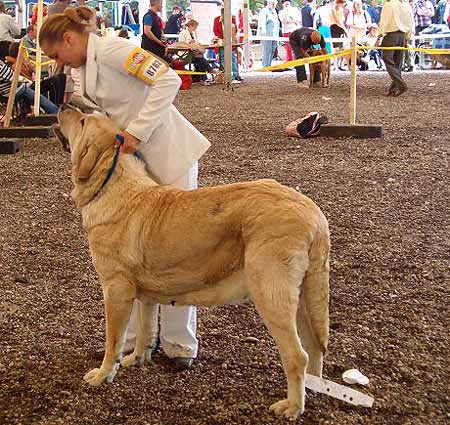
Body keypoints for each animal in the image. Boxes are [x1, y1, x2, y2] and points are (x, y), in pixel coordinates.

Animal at [55, 104, 330, 420]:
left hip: (271, 294)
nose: (63, 105)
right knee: (315, 347)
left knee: (297, 355)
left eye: (83, 121)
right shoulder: (143, 295)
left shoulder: (116, 290)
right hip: (305, 297)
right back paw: (314, 389)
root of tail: (313, 212)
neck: (112, 182)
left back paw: (292, 406)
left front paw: (102, 375)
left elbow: (112, 340)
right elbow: (146, 329)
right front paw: (137, 358)